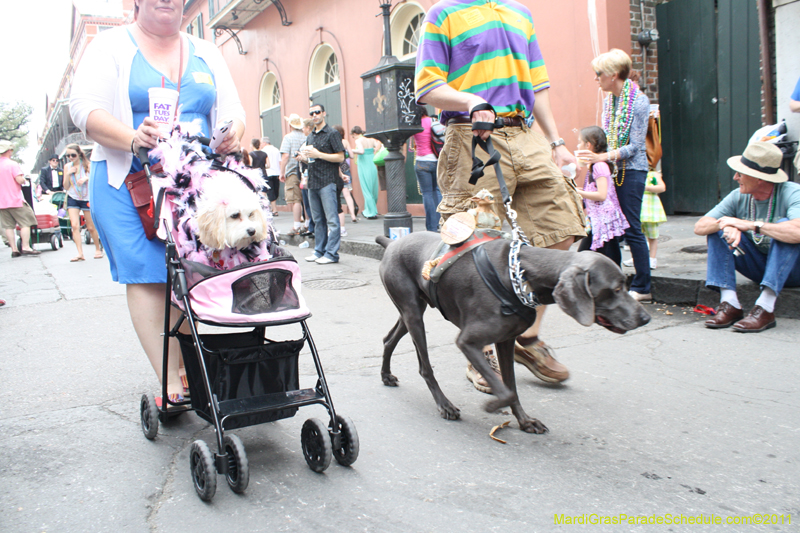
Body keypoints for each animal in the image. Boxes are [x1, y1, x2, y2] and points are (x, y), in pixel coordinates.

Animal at [140, 127, 360, 500]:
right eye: (233, 217)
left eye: (252, 215)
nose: (253, 232)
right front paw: (219, 463)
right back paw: (159, 413)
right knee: (163, 397)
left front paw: (333, 437)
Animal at [376, 233, 648, 432]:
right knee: (425, 367)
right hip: (413, 312)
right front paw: (493, 405)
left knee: (388, 339)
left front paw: (525, 421)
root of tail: (392, 243)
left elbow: (512, 388)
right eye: (615, 289)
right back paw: (445, 405)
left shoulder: (505, 340)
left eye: (625, 284)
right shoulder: (468, 342)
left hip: (411, 312)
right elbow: (505, 391)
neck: (520, 275)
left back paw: (386, 376)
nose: (645, 318)